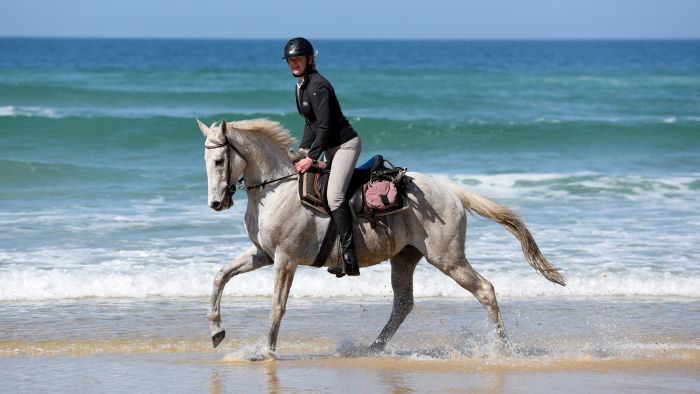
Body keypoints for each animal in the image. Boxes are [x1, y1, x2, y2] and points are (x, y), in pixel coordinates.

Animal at [196, 116, 564, 358]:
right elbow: (219, 277)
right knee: (403, 304)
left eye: (220, 160)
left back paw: (501, 349)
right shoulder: (263, 254)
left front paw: (265, 351)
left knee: (485, 290)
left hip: (447, 258)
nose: (216, 203)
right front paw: (216, 331)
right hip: (405, 257)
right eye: (206, 161)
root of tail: (451, 190)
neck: (276, 189)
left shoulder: (285, 259)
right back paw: (373, 348)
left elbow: (277, 305)